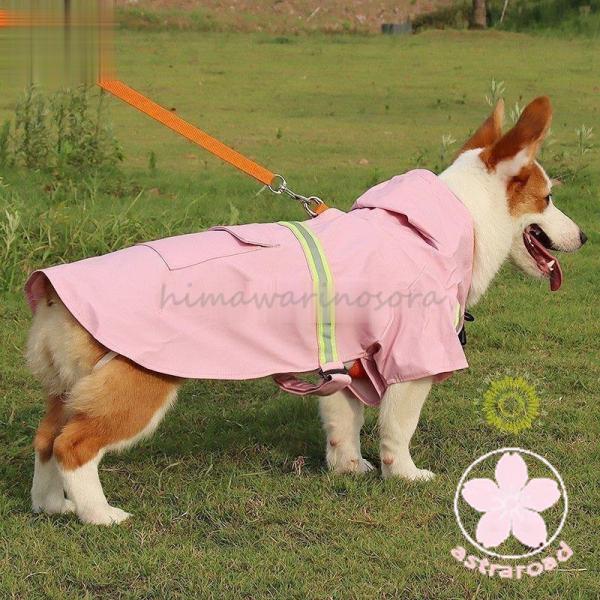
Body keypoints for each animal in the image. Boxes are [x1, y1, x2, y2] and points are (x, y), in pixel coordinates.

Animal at [25, 96, 587, 525]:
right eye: (548, 197)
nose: (583, 236)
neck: (444, 225)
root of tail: (55, 295)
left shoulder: (346, 366)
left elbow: (344, 425)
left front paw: (349, 469)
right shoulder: (414, 363)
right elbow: (397, 429)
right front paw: (405, 475)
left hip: (67, 389)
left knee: (46, 439)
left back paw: (53, 506)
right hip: (137, 386)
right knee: (74, 446)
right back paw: (99, 515)